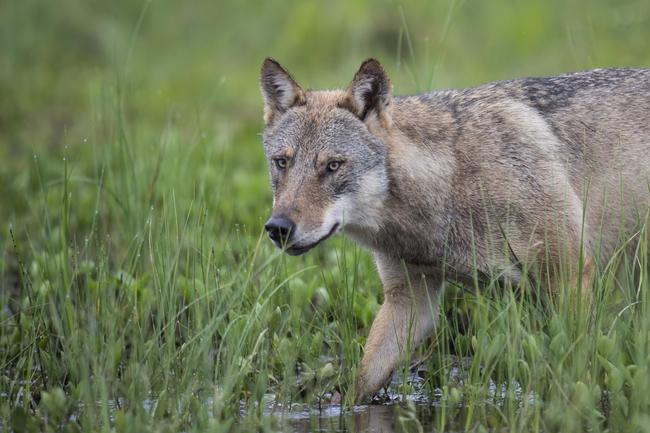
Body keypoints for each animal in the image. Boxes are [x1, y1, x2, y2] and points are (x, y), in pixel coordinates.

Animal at [256, 58, 648, 402]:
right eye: (282, 163)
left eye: (333, 166)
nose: (278, 228)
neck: (450, 180)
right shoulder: (410, 299)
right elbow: (363, 381)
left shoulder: (570, 277)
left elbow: (580, 375)